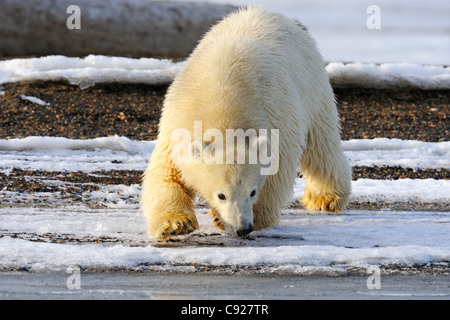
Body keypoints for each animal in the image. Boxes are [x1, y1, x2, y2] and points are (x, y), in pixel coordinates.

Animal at [141, 6, 352, 239]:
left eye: (252, 191)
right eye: (221, 195)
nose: (243, 228)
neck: (223, 105)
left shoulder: (275, 119)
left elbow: (275, 173)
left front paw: (253, 217)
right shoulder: (178, 123)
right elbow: (166, 173)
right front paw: (176, 224)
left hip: (313, 88)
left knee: (321, 147)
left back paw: (326, 197)